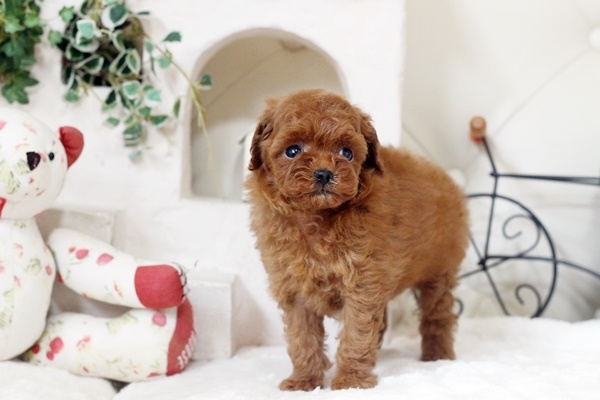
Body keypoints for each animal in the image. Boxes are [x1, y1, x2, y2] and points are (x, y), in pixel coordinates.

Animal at [245, 89, 469, 391]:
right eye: (293, 151)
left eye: (347, 153)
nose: (324, 173)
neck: (317, 219)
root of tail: (447, 179)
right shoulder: (295, 290)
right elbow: (302, 338)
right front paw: (303, 381)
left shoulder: (361, 284)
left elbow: (356, 335)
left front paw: (350, 381)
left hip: (439, 271)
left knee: (438, 315)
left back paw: (437, 355)